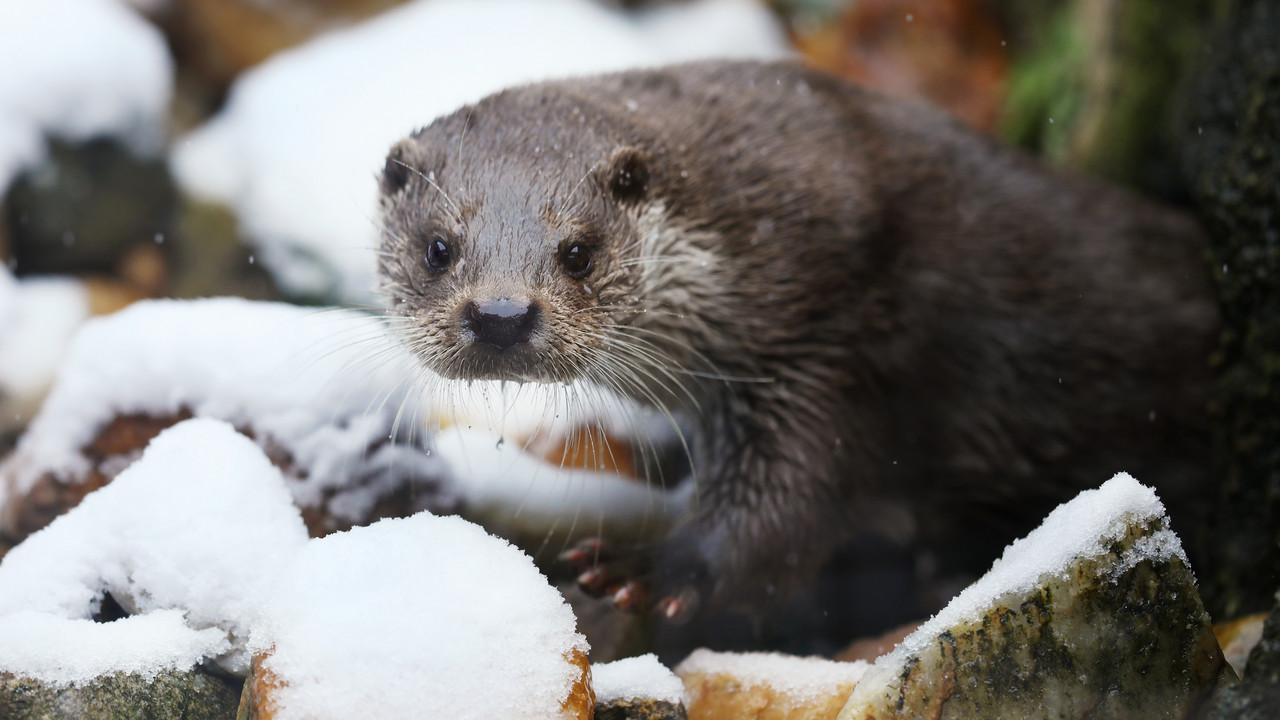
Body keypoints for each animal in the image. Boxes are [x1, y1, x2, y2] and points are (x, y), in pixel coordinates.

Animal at [373, 61, 1213, 620]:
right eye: (438, 248)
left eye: (579, 251)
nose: (502, 314)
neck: (751, 239)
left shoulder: (828, 340)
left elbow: (787, 509)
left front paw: (653, 570)